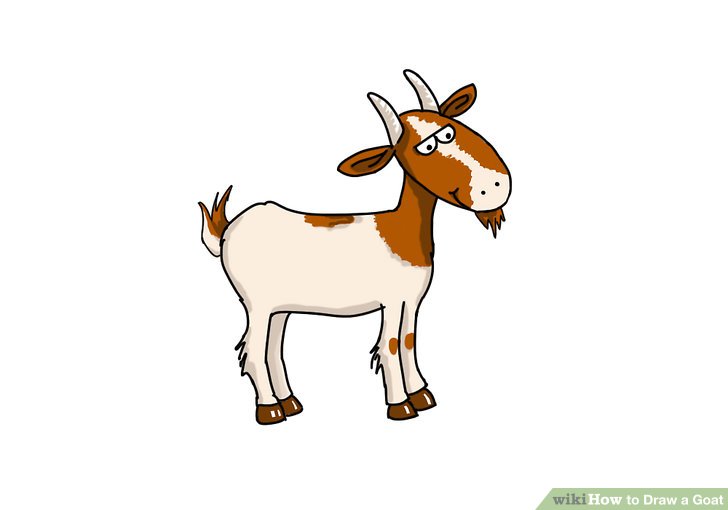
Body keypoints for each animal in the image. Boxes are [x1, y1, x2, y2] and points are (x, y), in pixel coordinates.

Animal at [199, 70, 512, 424]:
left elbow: (408, 341)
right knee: (253, 350)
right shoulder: (391, 299)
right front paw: (400, 406)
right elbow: (391, 345)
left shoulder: (411, 299)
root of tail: (227, 231)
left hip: (278, 307)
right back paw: (270, 410)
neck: (400, 231)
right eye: (426, 146)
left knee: (272, 348)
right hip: (257, 304)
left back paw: (290, 403)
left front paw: (421, 395)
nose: (495, 186)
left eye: (450, 127)